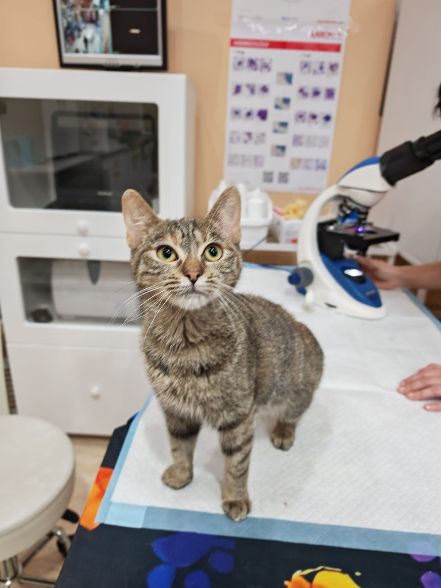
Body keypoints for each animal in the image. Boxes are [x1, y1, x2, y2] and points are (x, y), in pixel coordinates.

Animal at [121, 186, 323, 522]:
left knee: (296, 410)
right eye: (166, 253)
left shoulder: (238, 417)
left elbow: (237, 464)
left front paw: (235, 497)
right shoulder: (176, 412)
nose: (193, 272)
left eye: (212, 252)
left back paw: (283, 429)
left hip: (294, 386)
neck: (185, 345)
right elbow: (179, 446)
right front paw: (181, 474)